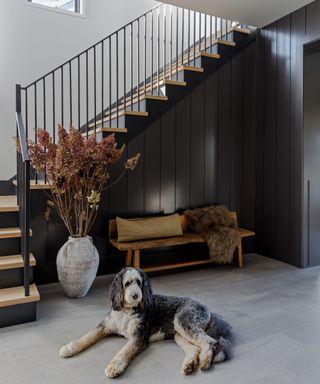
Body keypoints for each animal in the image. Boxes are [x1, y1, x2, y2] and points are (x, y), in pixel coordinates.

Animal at [59, 268, 232, 378]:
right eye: (127, 283)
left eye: (139, 282)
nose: (136, 296)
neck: (126, 311)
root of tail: (207, 309)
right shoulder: (104, 327)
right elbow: (86, 337)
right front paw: (69, 348)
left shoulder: (138, 337)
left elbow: (123, 352)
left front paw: (114, 367)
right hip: (179, 333)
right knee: (195, 348)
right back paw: (189, 365)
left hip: (184, 322)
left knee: (210, 341)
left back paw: (205, 360)